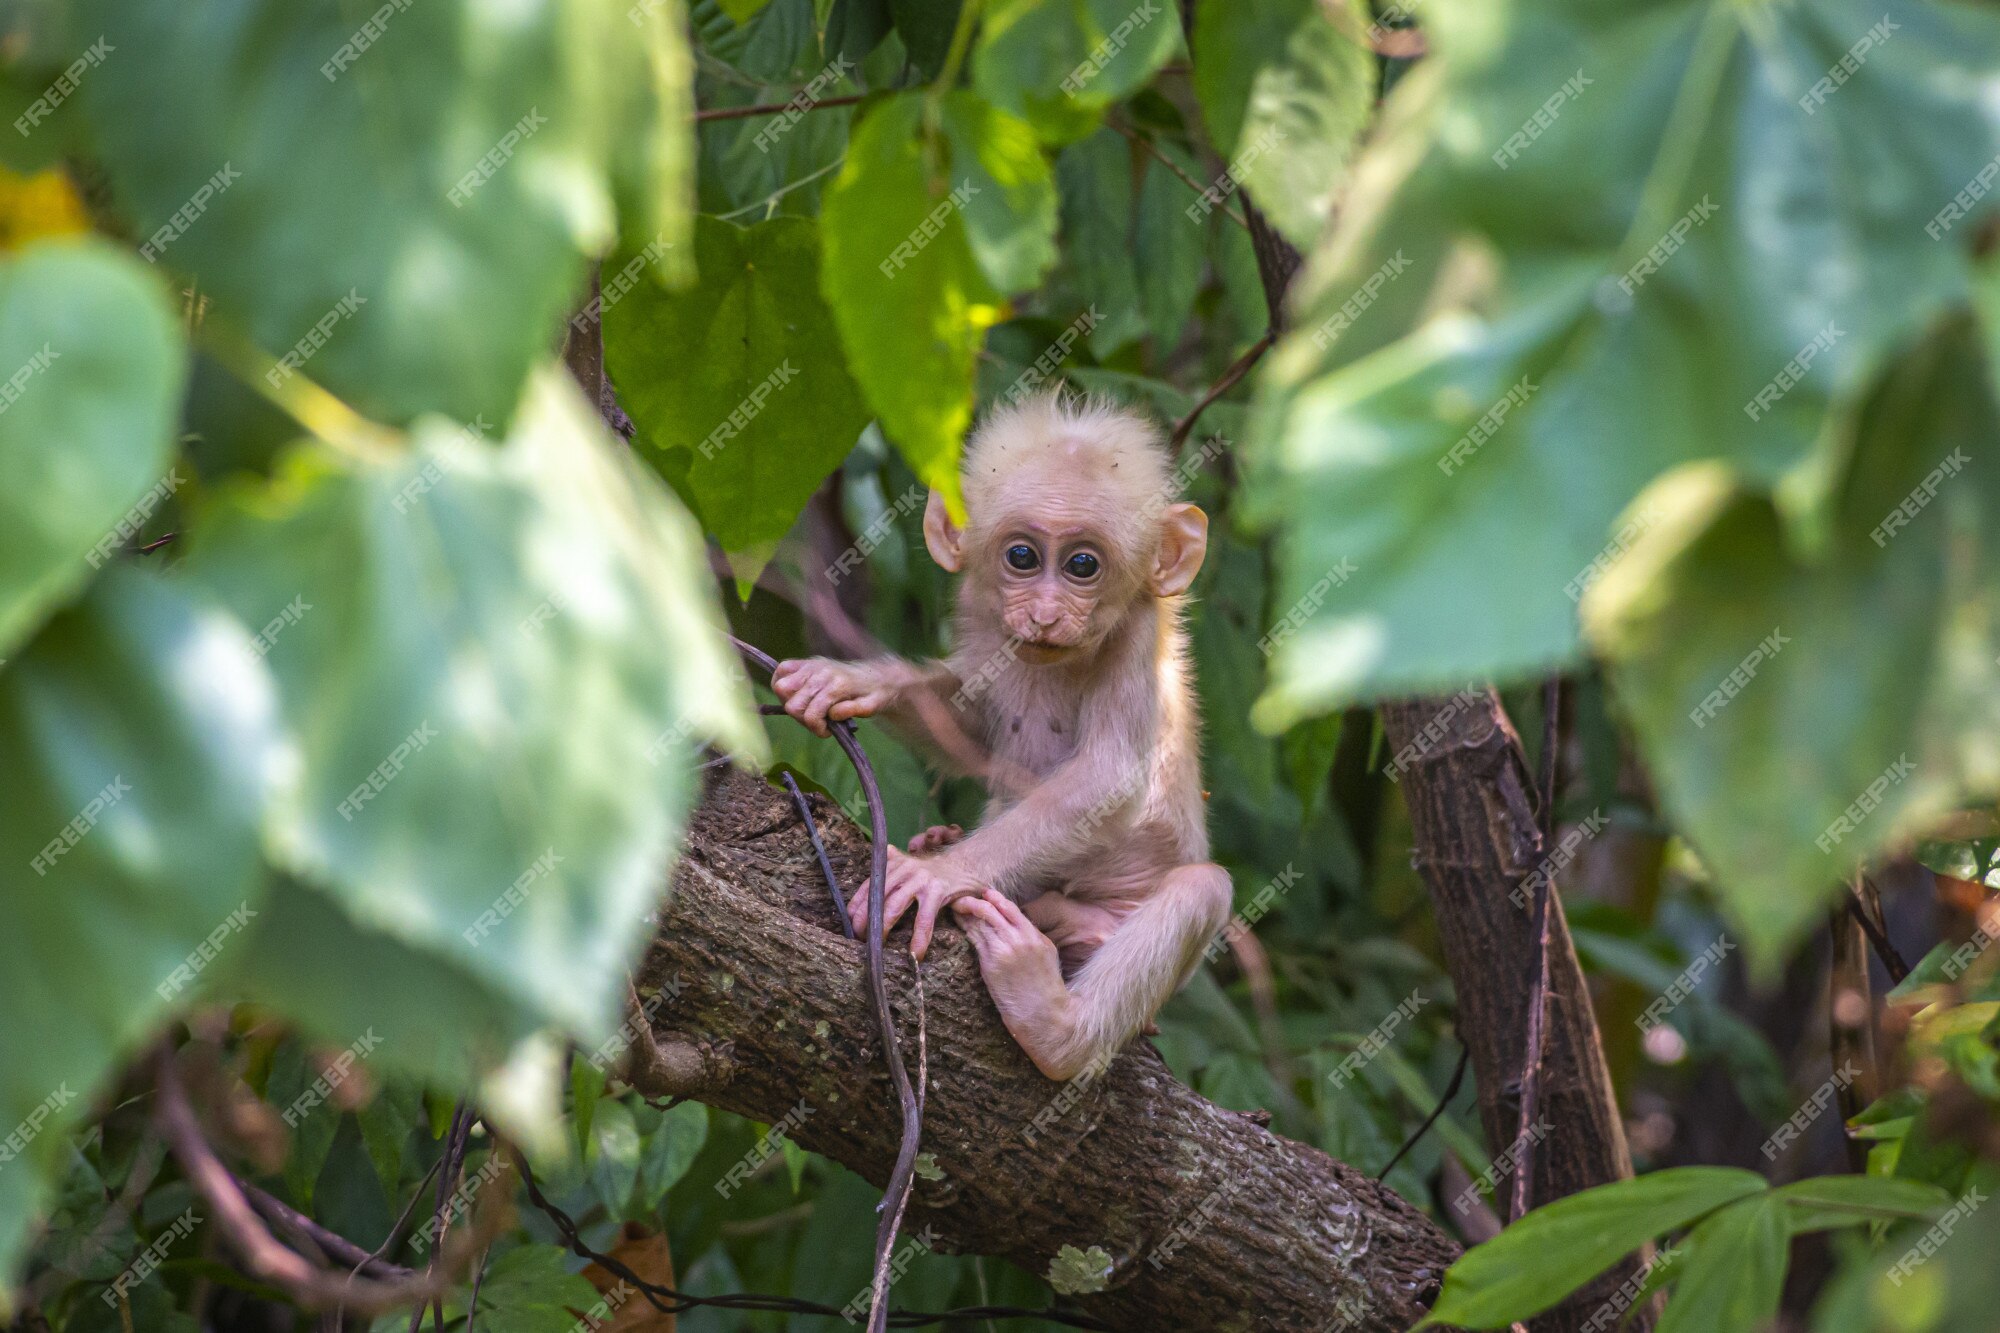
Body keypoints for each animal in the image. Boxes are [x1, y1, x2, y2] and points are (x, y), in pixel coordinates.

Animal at [776, 394, 1232, 1080]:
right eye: (1022, 557)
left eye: (1082, 565)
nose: (1044, 615)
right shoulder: (985, 618)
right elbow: (972, 727)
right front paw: (854, 680)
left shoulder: (1137, 634)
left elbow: (1111, 774)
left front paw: (940, 874)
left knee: (1203, 887)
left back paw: (1054, 1026)